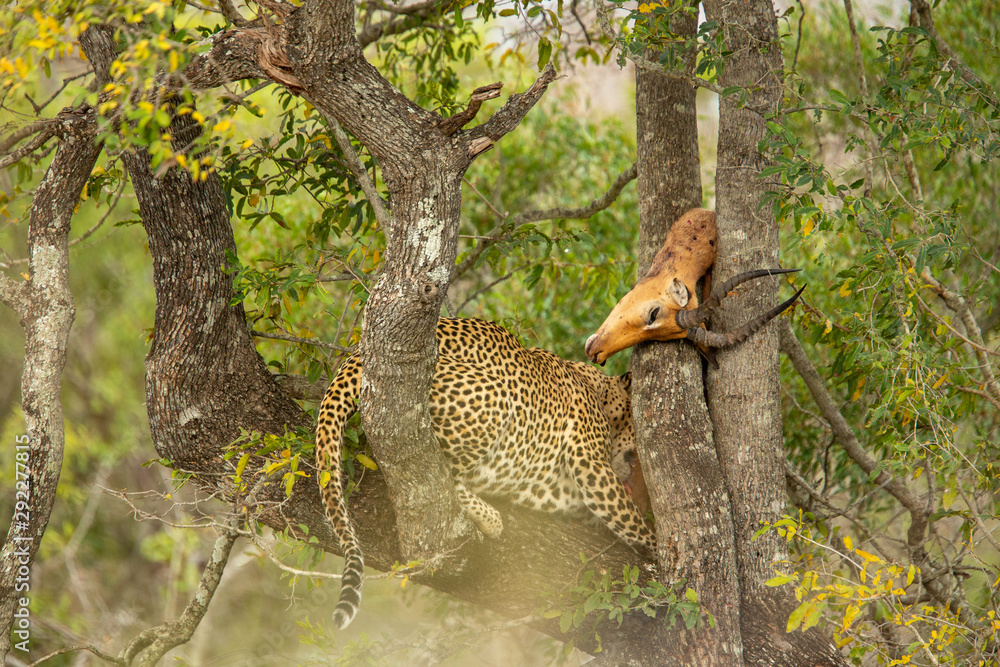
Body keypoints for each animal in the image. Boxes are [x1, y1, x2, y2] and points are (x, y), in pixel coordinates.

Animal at [316, 318, 652, 632]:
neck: (600, 391)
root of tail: (357, 356)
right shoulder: (590, 465)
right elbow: (631, 518)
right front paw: (661, 558)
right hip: (494, 397)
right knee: (436, 475)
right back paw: (490, 517)